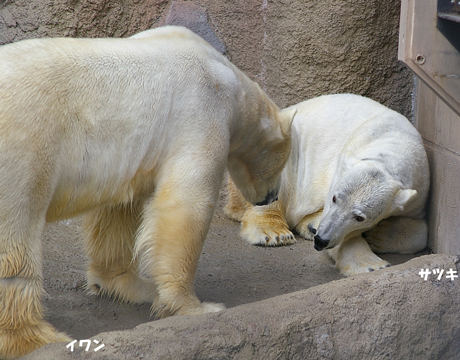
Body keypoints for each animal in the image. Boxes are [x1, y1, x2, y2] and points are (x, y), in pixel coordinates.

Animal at [0, 26, 294, 358]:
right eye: (282, 163)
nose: (270, 197)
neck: (230, 82)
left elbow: (119, 211)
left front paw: (129, 285)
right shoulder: (203, 110)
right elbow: (187, 203)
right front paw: (196, 307)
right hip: (25, 144)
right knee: (16, 235)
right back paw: (36, 337)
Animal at [226, 93, 432, 276]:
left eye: (360, 217)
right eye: (334, 199)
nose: (321, 239)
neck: (393, 145)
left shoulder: (419, 187)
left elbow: (422, 228)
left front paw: (380, 234)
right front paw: (371, 264)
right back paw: (275, 231)